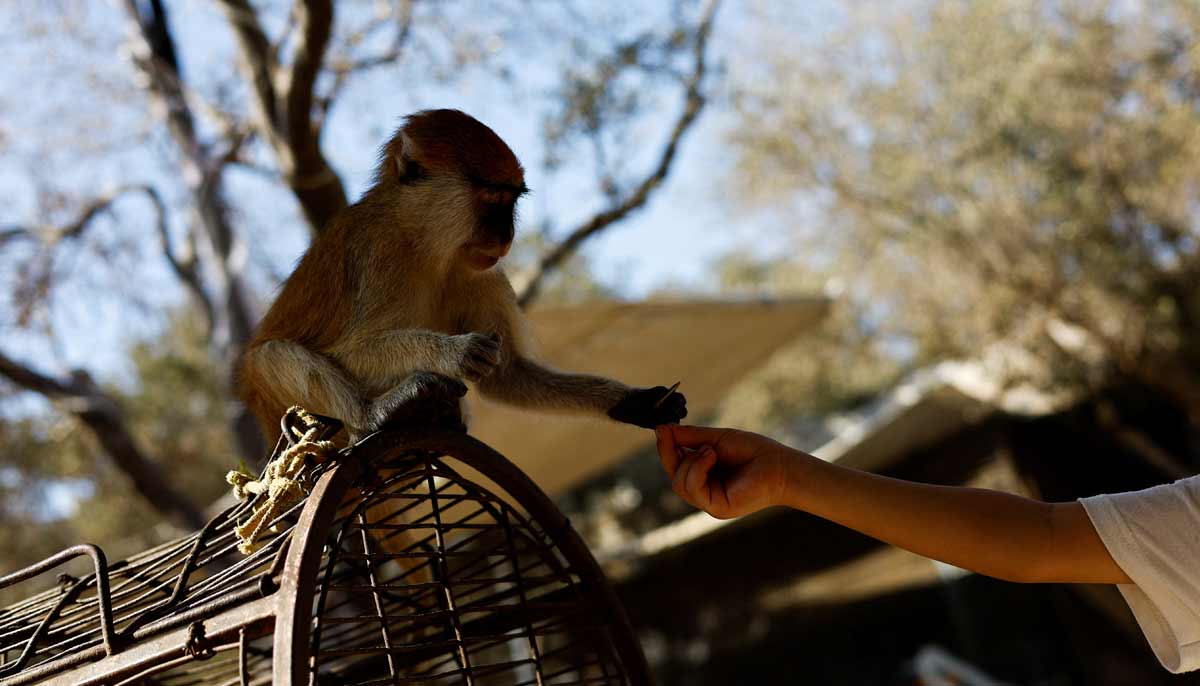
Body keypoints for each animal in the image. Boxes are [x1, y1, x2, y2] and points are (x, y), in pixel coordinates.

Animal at [236, 109, 687, 451]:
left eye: (512, 200)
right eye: (492, 200)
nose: (506, 237)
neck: (426, 242)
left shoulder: (481, 274)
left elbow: (508, 376)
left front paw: (636, 402)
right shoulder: (381, 254)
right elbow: (347, 352)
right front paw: (452, 352)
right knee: (271, 356)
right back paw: (377, 414)